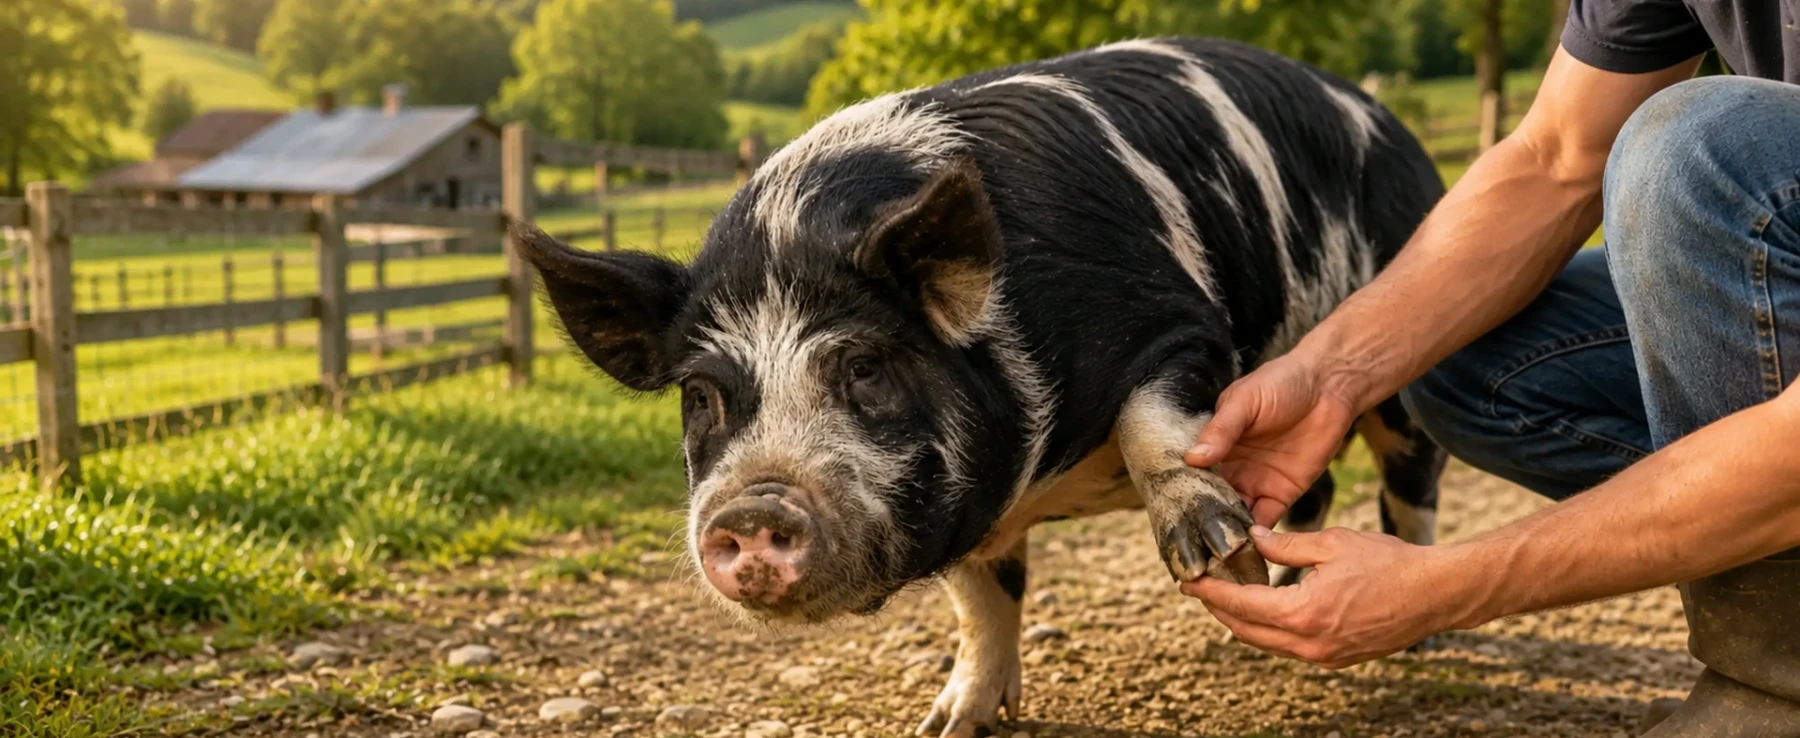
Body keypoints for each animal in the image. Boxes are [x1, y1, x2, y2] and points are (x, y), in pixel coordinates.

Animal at [511, 35, 1447, 738]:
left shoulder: (1180, 325)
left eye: (865, 367)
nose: (754, 509)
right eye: (702, 396)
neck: (1054, 467)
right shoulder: (967, 508)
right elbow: (982, 599)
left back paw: (1414, 644)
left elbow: (1154, 421)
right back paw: (1271, 604)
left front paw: (1210, 549)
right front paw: (949, 724)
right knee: (1314, 487)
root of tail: (1391, 124)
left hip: (1409, 373)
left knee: (1410, 485)